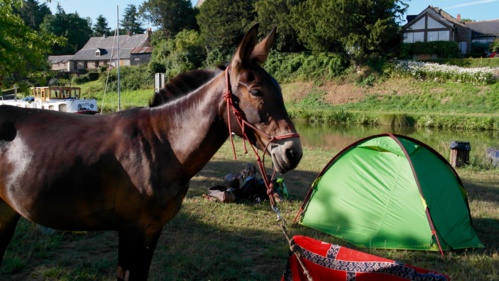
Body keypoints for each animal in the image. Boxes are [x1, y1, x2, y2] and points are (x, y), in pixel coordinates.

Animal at [0, 24, 300, 280]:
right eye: (256, 91)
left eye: (279, 88)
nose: (292, 152)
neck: (162, 144)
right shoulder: (132, 232)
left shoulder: (152, 231)